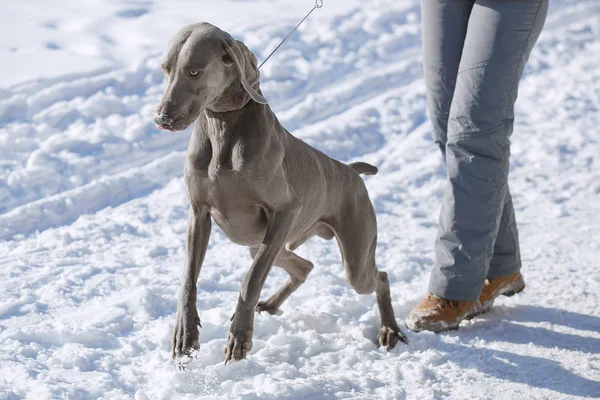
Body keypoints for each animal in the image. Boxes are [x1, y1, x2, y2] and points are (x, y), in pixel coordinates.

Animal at [155, 22, 408, 366]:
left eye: (194, 71)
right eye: (165, 70)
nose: (161, 119)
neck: (223, 127)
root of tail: (352, 172)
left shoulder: (285, 212)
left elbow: (250, 281)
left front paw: (240, 336)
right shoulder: (199, 214)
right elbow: (188, 280)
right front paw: (185, 334)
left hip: (351, 253)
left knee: (379, 277)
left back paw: (389, 329)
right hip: (267, 243)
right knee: (304, 267)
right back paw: (271, 304)